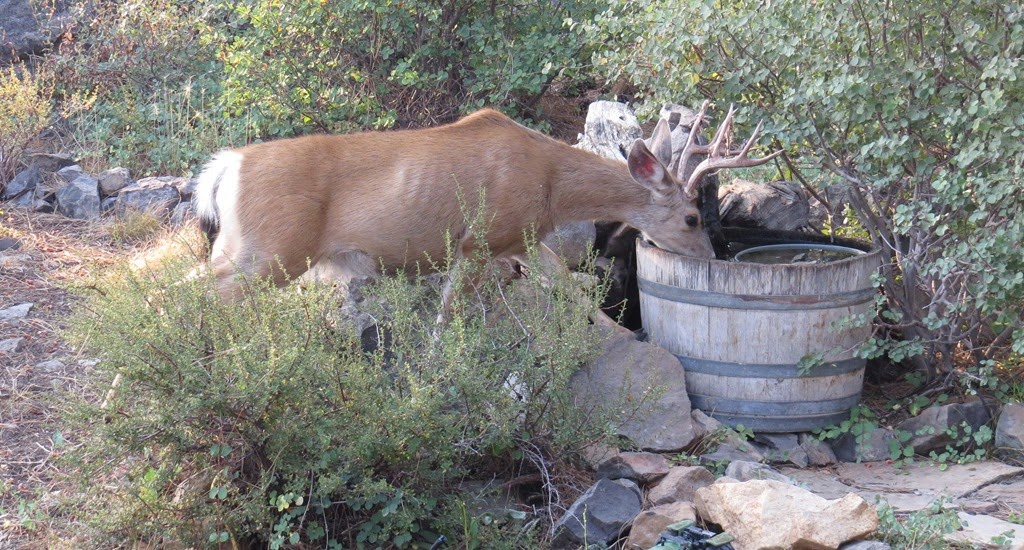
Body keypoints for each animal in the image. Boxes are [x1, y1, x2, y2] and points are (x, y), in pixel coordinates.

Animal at [193, 105, 778, 324]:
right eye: (692, 218)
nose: (714, 257)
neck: (551, 187)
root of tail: (227, 166)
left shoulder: (524, 241)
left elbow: (571, 290)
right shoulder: (479, 240)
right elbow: (446, 317)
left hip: (244, 247)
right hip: (272, 249)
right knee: (201, 294)